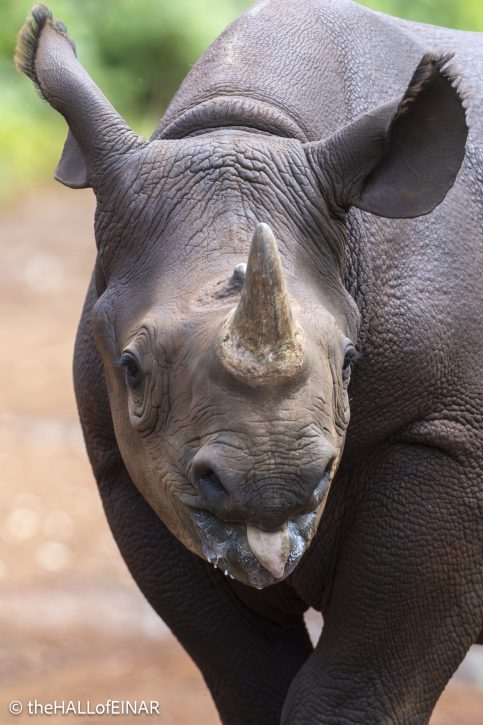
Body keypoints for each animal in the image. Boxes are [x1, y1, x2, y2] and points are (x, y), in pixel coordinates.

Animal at [16, 0, 483, 722]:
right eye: (131, 369)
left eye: (350, 360)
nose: (272, 485)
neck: (243, 119)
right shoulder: (124, 463)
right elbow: (248, 677)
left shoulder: (445, 436)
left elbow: (356, 686)